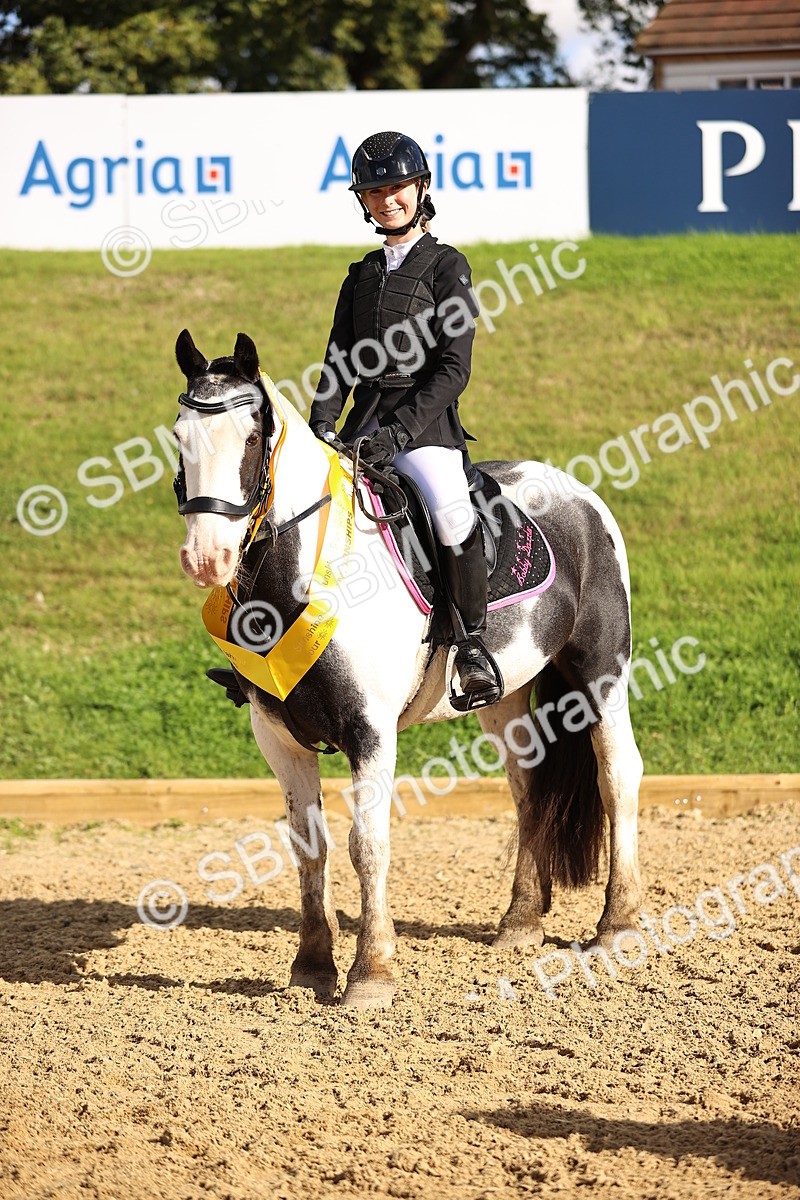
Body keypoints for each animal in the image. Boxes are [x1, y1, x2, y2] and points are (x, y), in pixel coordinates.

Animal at [172, 329, 643, 1009]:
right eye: (180, 437)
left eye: (252, 438)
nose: (206, 557)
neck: (305, 577)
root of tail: (575, 492)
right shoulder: (278, 737)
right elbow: (308, 847)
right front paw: (312, 966)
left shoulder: (371, 732)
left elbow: (366, 845)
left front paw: (372, 973)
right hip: (505, 696)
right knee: (527, 787)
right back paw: (521, 921)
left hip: (600, 671)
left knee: (617, 775)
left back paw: (617, 925)